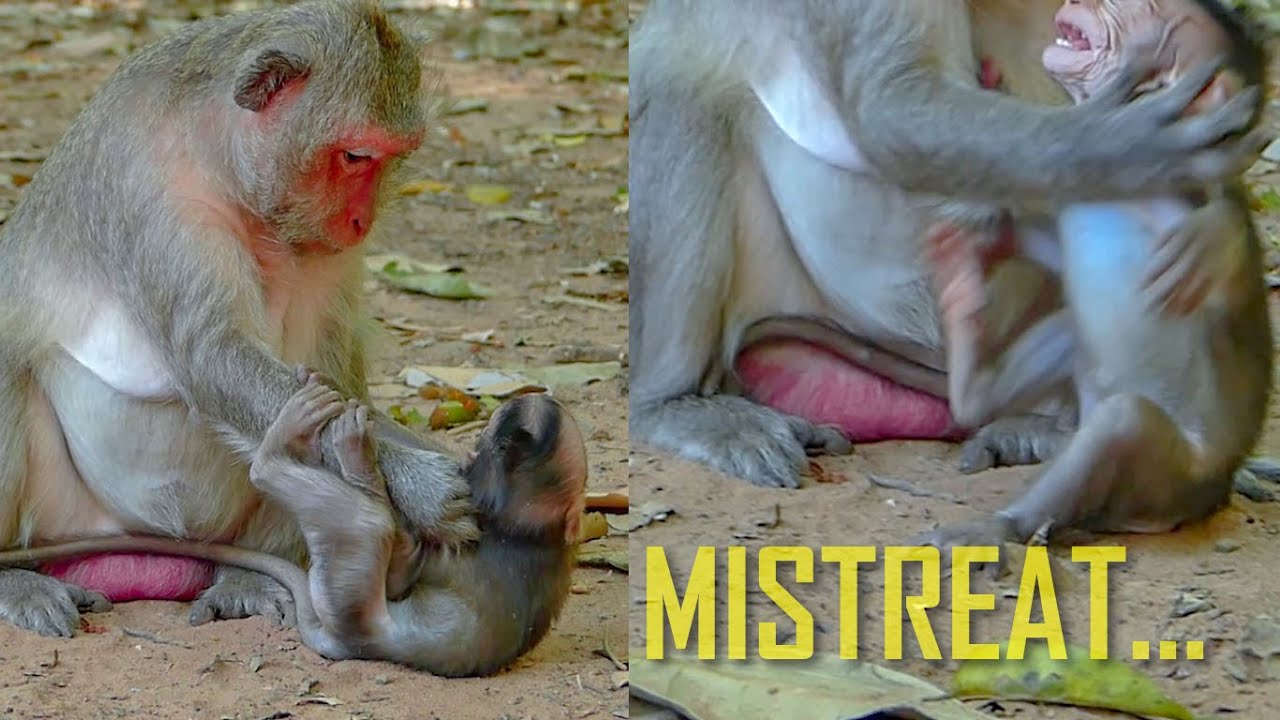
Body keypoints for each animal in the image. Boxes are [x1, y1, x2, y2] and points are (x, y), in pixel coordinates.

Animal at [0, 0, 579, 639]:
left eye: (391, 158)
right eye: (355, 156)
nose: (362, 221)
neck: (224, 166)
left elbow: (332, 379)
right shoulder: (153, 196)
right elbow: (213, 357)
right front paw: (421, 485)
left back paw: (249, 578)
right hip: (63, 520)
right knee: (8, 368)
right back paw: (17, 579)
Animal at [0, 375, 587, 678]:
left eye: (494, 433)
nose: (494, 420)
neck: (532, 525)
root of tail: (352, 644)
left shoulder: (474, 538)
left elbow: (404, 570)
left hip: (346, 595)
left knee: (365, 525)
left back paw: (298, 447)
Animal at [628, 0, 1267, 489]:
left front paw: (1221, 230)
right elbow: (891, 107)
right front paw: (1120, 143)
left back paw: (1054, 428)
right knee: (681, 85)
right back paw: (672, 401)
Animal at [913, 0, 1273, 550]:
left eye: (1148, 9)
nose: (1084, 3)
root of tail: (1213, 493)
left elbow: (1227, 260)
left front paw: (1216, 237)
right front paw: (988, 227)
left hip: (1168, 483)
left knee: (1124, 424)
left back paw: (1001, 525)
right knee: (1068, 338)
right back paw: (969, 364)